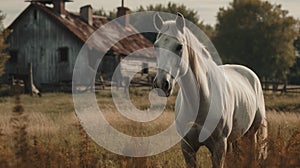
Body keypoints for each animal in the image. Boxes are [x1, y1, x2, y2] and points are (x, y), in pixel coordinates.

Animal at [152, 13, 268, 168]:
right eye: (156, 46)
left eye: (179, 46)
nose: (161, 83)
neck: (201, 102)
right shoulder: (187, 148)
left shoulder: (219, 147)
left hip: (250, 135)